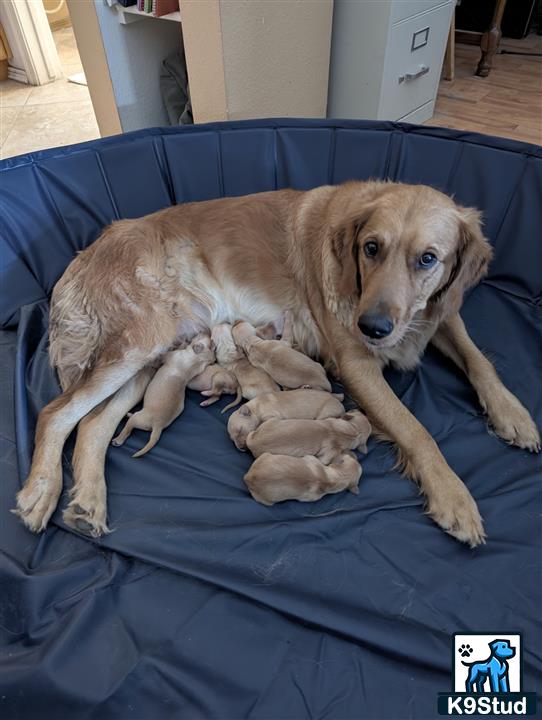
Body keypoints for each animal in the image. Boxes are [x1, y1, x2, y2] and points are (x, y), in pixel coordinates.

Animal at [14, 180, 540, 544]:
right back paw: (42, 491)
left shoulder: (440, 312)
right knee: (56, 413)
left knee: (92, 425)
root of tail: (87, 251)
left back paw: (88, 502)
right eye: (372, 248)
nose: (372, 327)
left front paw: (513, 414)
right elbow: (416, 430)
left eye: (428, 259)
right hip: (141, 342)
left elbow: (479, 359)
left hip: (150, 357)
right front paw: (454, 497)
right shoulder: (356, 363)